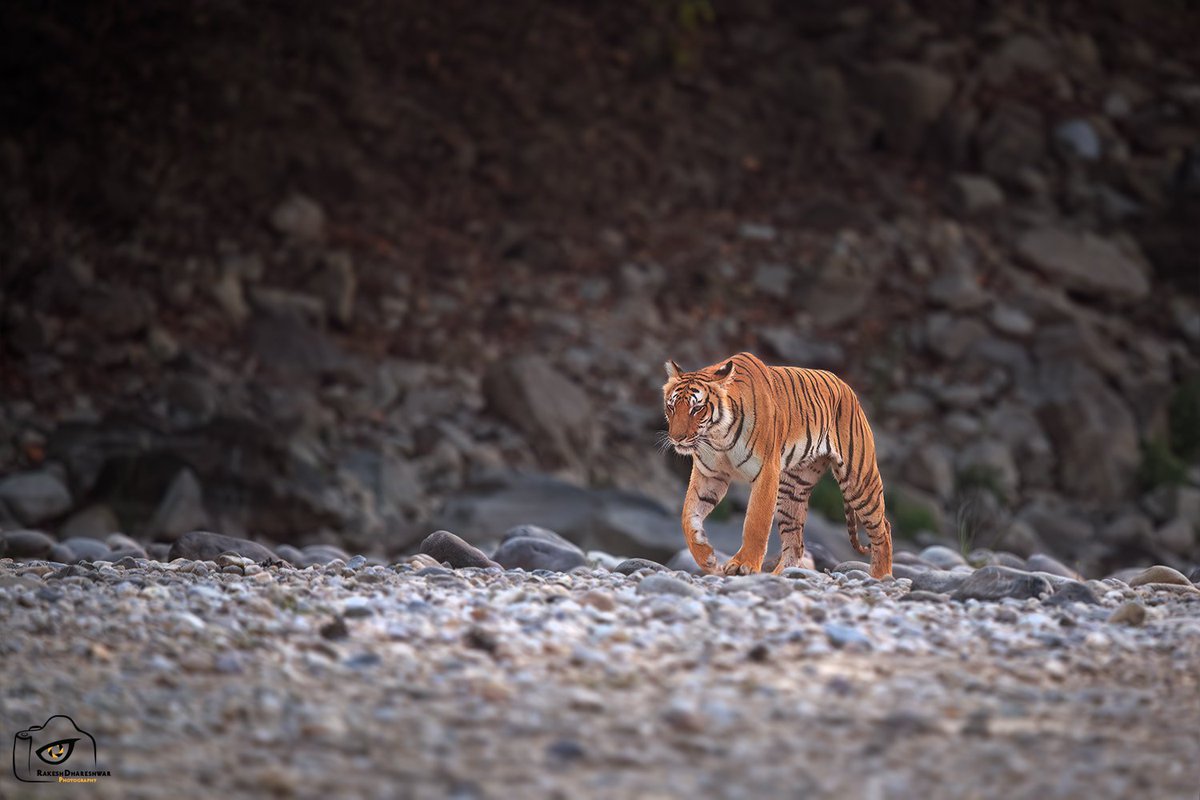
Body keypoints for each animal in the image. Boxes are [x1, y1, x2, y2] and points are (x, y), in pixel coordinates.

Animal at [662, 352, 897, 578]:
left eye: (697, 409)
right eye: (671, 406)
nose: (677, 438)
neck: (717, 437)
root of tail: (847, 387)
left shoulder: (766, 472)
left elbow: (756, 521)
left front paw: (743, 565)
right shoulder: (710, 475)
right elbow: (687, 516)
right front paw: (707, 559)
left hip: (859, 480)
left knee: (883, 528)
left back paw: (881, 576)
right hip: (793, 490)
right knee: (796, 543)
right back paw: (782, 575)